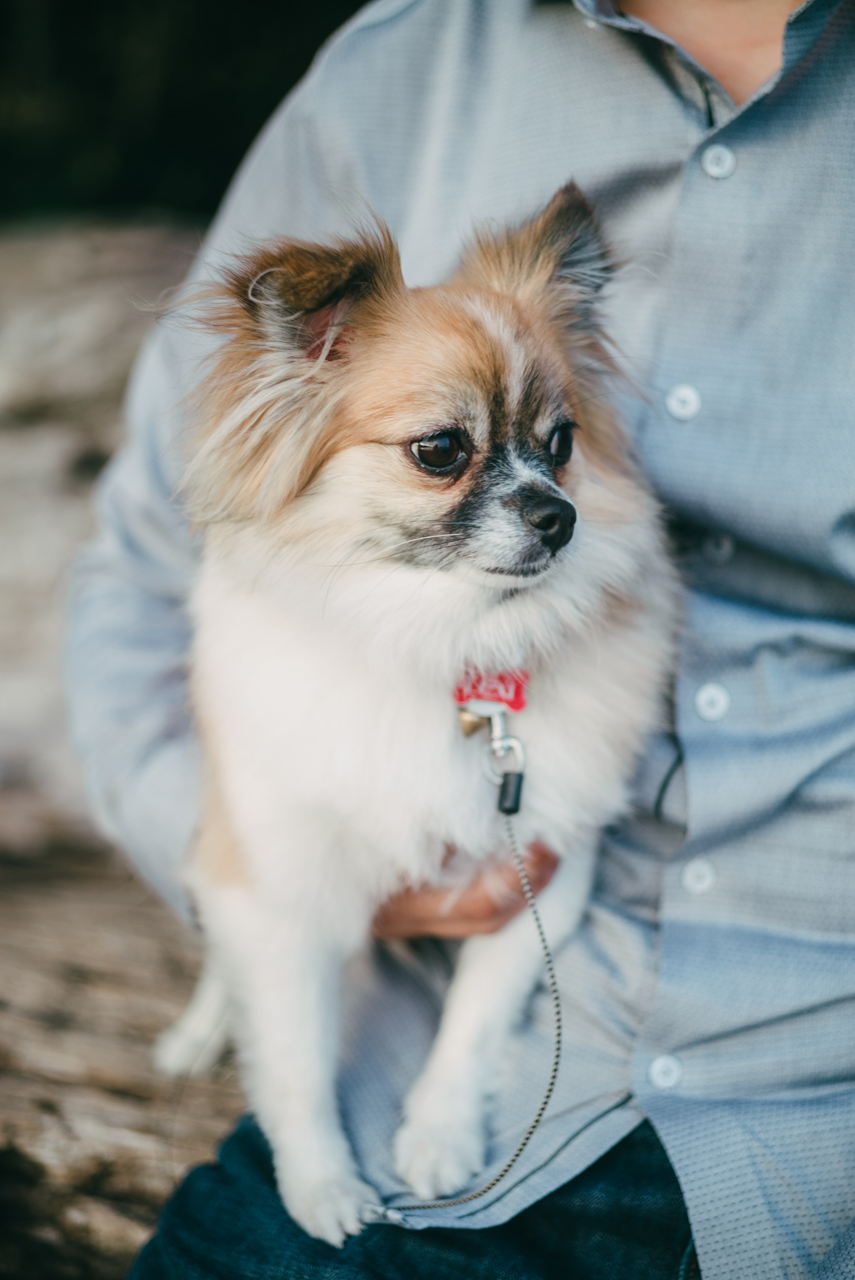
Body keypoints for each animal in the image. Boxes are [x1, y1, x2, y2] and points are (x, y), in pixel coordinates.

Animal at [156, 185, 675, 1244]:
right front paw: (322, 1186)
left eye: (561, 444)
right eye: (441, 451)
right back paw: (198, 1032)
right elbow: (297, 1058)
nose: (558, 514)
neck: (445, 643)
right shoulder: (283, 892)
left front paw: (438, 1138)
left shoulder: (536, 876)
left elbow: (471, 1025)